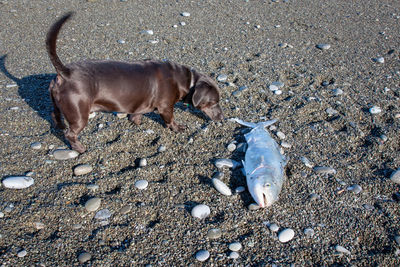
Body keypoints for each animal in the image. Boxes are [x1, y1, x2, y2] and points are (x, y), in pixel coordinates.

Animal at [46, 12, 223, 154]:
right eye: (214, 102)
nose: (222, 117)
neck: (186, 80)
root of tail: (66, 72)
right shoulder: (166, 106)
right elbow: (170, 120)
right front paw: (178, 128)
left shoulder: (142, 103)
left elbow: (137, 114)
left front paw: (136, 121)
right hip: (79, 114)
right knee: (71, 134)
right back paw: (80, 148)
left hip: (58, 103)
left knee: (54, 115)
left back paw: (59, 126)